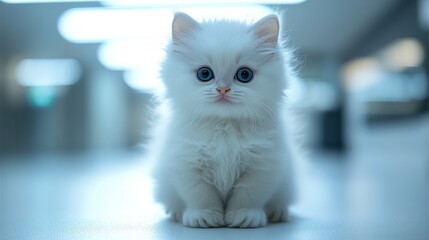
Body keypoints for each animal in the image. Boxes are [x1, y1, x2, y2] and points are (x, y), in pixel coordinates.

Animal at [152, 11, 296, 229]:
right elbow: (201, 195)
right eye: (204, 74)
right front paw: (204, 217)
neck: (224, 127)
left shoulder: (263, 164)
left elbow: (248, 195)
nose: (223, 89)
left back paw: (278, 213)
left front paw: (244, 217)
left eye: (244, 75)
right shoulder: (187, 162)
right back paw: (176, 212)